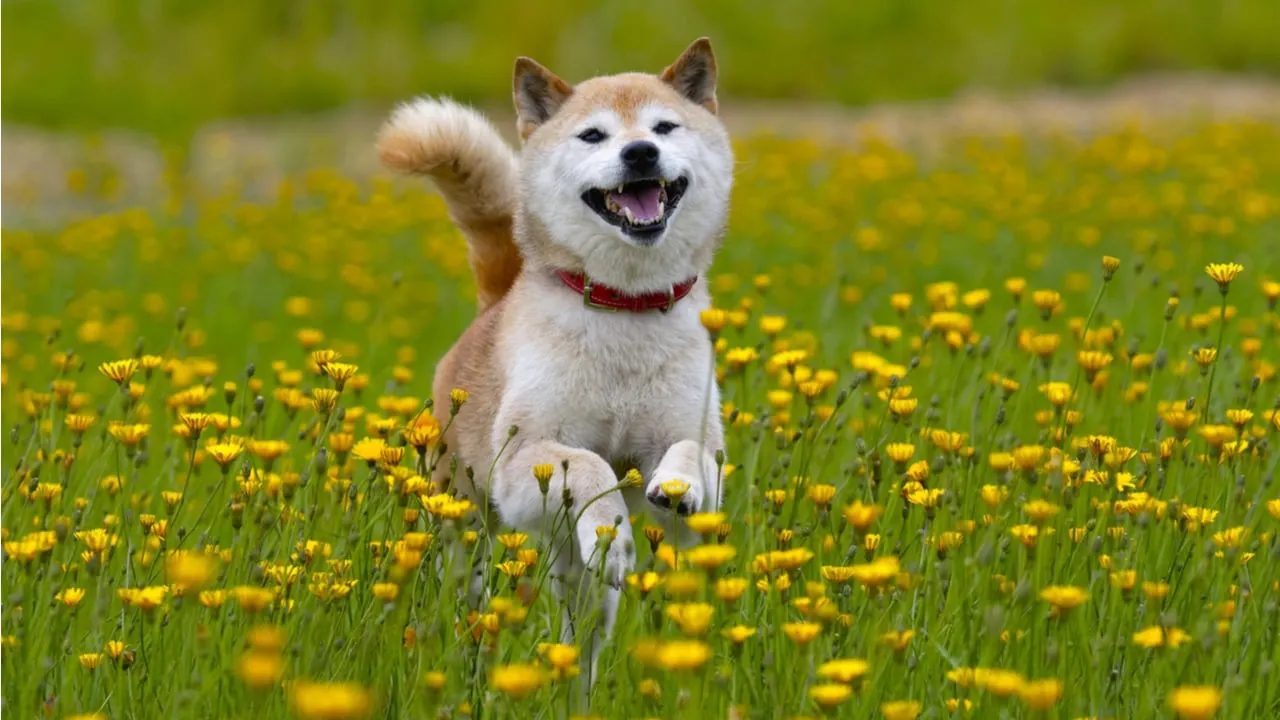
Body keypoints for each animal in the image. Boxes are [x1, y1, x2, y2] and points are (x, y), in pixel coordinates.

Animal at [373, 37, 732, 676]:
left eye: (664, 127)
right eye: (593, 135)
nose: (640, 152)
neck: (625, 308)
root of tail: (492, 304)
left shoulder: (695, 468)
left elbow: (689, 455)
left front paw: (676, 486)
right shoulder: (524, 464)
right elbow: (588, 466)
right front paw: (613, 527)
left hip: (579, 583)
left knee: (582, 632)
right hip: (464, 527)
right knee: (467, 595)